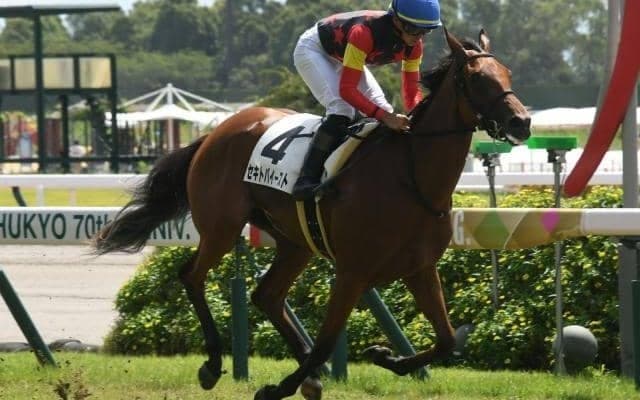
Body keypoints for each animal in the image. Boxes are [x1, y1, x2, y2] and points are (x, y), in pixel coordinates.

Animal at [93, 28, 530, 400]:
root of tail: (216, 132)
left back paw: (307, 374)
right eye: (477, 79)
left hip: (294, 241)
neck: (411, 178)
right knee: (192, 276)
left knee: (266, 295)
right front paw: (276, 387)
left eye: (508, 73)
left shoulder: (420, 269)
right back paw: (215, 364)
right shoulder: (352, 272)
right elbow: (325, 344)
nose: (522, 122)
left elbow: (446, 339)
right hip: (222, 227)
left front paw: (384, 356)